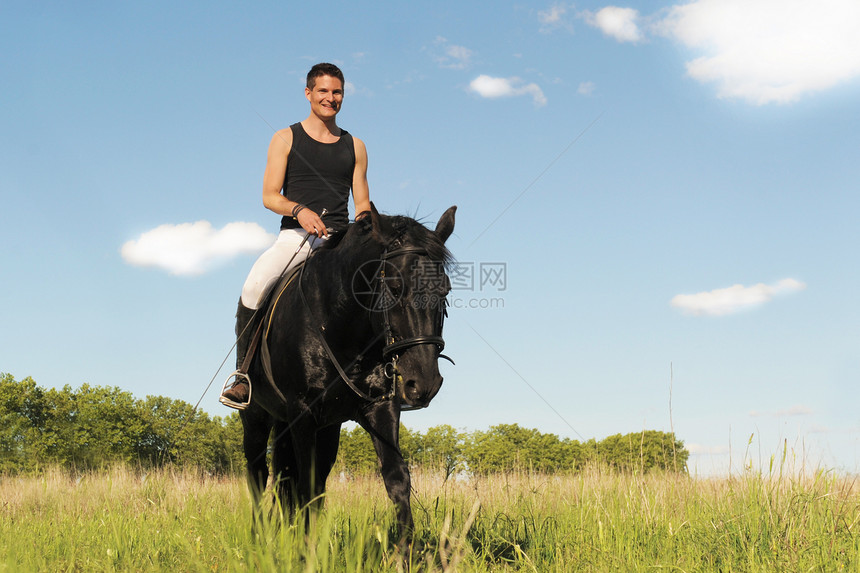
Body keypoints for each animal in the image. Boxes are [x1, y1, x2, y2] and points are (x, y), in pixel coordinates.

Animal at [239, 203, 456, 544]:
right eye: (395, 287)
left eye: (445, 290)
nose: (424, 384)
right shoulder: (302, 413)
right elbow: (305, 486)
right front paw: (304, 550)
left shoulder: (380, 408)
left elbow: (397, 479)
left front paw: (406, 551)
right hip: (257, 417)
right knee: (258, 473)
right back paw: (260, 539)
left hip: (325, 427)